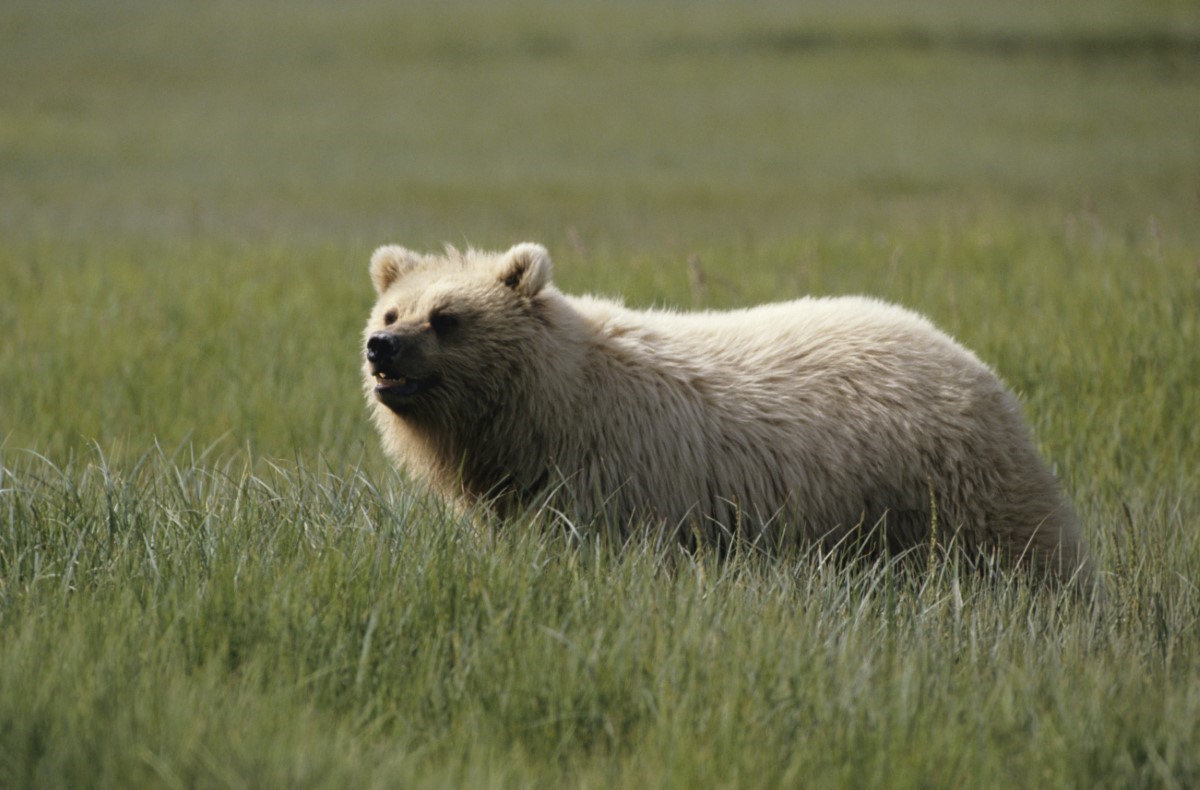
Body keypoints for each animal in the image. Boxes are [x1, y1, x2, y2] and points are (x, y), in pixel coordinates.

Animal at [364, 240, 1099, 583]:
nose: (382, 350)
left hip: (950, 484)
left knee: (1027, 552)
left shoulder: (620, 479)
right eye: (393, 311)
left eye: (447, 318)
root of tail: (970, 359)